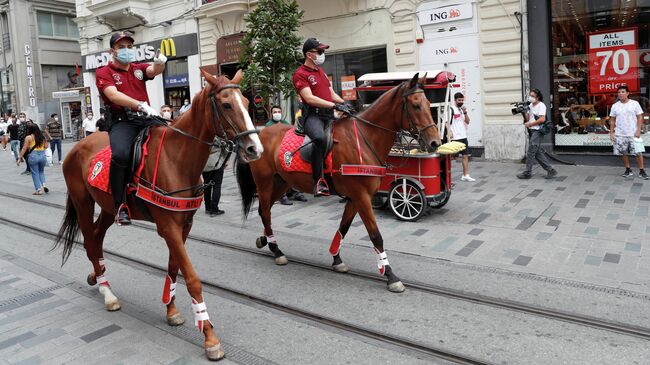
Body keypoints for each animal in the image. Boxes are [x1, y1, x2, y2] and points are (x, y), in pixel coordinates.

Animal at [52, 68, 260, 358]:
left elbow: (174, 268)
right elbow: (192, 278)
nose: (254, 148)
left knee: (96, 237)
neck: (177, 159)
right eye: (227, 104)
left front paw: (171, 310)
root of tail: (78, 145)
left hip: (109, 207)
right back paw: (108, 293)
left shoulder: (184, 226)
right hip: (83, 202)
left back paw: (98, 276)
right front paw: (209, 336)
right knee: (91, 242)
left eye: (248, 102)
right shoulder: (168, 227)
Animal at [237, 72, 440, 292]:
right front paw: (390, 274)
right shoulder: (361, 197)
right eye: (416, 105)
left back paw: (266, 240)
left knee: (264, 210)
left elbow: (344, 227)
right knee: (265, 211)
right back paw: (276, 250)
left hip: (282, 182)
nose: (435, 142)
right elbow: (375, 235)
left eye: (429, 104)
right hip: (264, 182)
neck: (365, 138)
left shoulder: (355, 198)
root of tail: (259, 135)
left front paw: (336, 259)